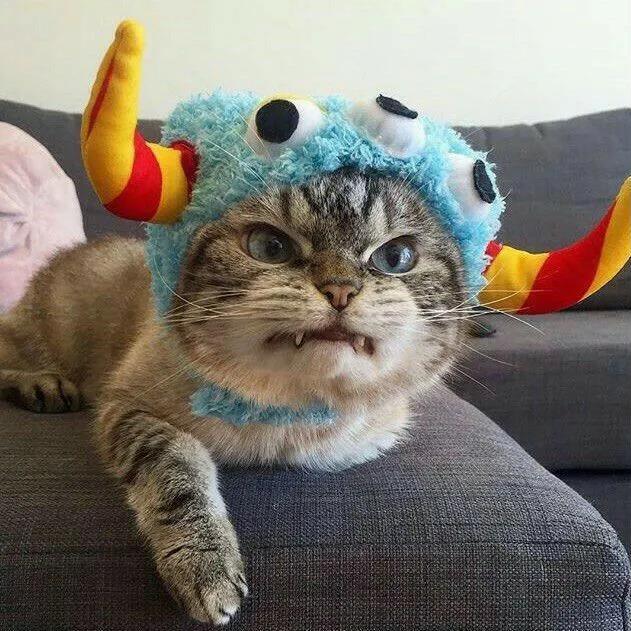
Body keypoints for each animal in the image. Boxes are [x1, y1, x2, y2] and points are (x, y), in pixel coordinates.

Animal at [0, 167, 466, 625]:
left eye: (395, 257)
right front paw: (205, 565)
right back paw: (42, 385)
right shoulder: (128, 405)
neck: (285, 414)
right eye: (270, 247)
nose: (340, 290)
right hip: (39, 337)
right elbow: (181, 467)